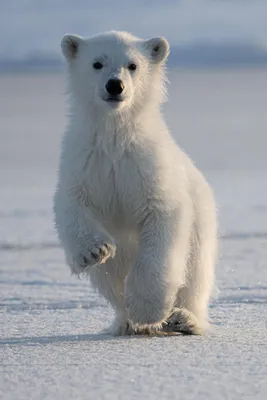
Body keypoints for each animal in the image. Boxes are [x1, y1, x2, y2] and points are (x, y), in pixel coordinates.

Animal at [54, 31, 218, 336]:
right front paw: (94, 251)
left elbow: (163, 224)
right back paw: (125, 323)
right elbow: (71, 203)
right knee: (109, 279)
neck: (115, 137)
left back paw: (183, 319)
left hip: (202, 225)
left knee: (196, 275)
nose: (114, 85)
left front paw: (147, 309)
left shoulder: (148, 169)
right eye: (97, 63)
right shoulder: (86, 161)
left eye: (133, 65)